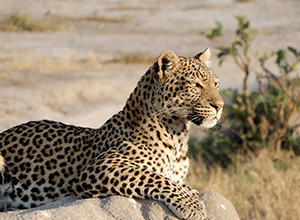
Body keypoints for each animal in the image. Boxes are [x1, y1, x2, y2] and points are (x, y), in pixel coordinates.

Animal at [0, 48, 223, 220]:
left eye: (216, 84)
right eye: (196, 85)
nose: (219, 106)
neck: (178, 135)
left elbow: (175, 181)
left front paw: (192, 194)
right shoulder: (101, 166)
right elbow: (156, 178)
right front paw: (191, 205)